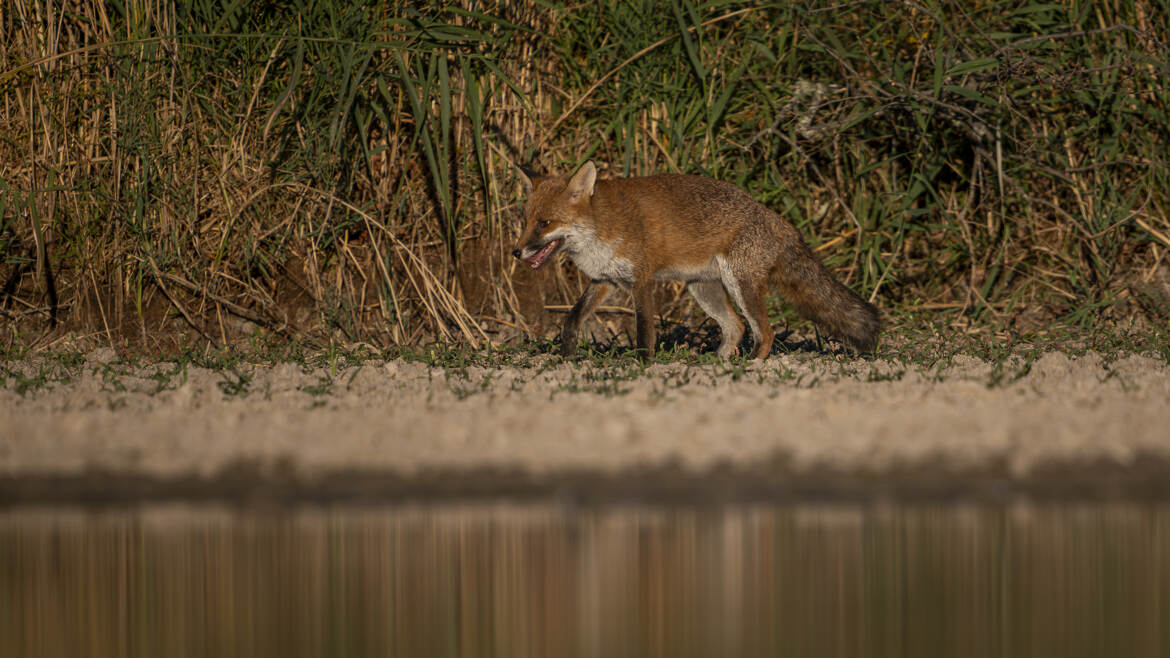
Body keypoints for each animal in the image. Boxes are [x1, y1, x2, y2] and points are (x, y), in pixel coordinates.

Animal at [511, 161, 880, 360]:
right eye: (525, 221)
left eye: (544, 223)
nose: (516, 252)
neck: (599, 227)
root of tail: (774, 216)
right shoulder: (605, 280)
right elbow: (572, 318)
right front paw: (567, 356)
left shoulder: (640, 279)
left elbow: (644, 331)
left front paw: (643, 364)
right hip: (704, 289)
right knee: (736, 328)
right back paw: (718, 363)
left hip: (739, 284)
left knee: (765, 331)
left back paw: (752, 365)